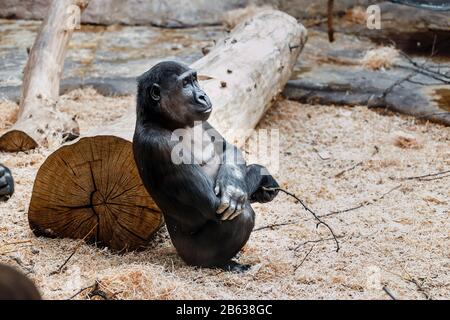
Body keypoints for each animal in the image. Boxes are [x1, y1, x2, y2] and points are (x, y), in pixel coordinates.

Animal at [132, 61, 280, 272]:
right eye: (185, 83)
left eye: (195, 79)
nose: (202, 95)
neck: (162, 119)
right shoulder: (158, 144)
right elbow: (213, 202)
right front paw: (245, 187)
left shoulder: (204, 121)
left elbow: (229, 149)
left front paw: (240, 184)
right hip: (193, 256)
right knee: (242, 215)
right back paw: (222, 264)